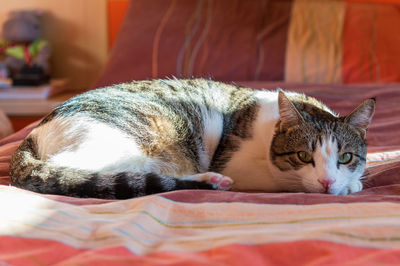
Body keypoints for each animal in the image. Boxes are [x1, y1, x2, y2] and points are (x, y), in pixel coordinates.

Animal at [9, 78, 376, 198]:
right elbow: (284, 181)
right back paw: (209, 180)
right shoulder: (238, 165)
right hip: (130, 139)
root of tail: (38, 129)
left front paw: (348, 182)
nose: (328, 182)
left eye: (345, 157)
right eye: (303, 156)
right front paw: (347, 186)